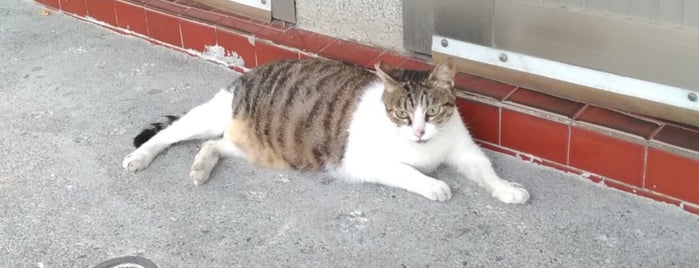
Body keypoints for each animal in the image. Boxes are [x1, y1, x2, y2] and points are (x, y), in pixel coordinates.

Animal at [123, 57, 532, 203]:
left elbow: (487, 172)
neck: (425, 149)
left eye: (431, 112)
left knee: (213, 145)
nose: (418, 132)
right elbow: (407, 172)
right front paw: (434, 185)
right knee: (169, 134)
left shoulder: (464, 150)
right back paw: (139, 157)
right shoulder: (363, 162)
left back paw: (201, 167)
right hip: (215, 112)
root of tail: (254, 70)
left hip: (245, 144)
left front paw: (509, 190)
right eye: (401, 114)